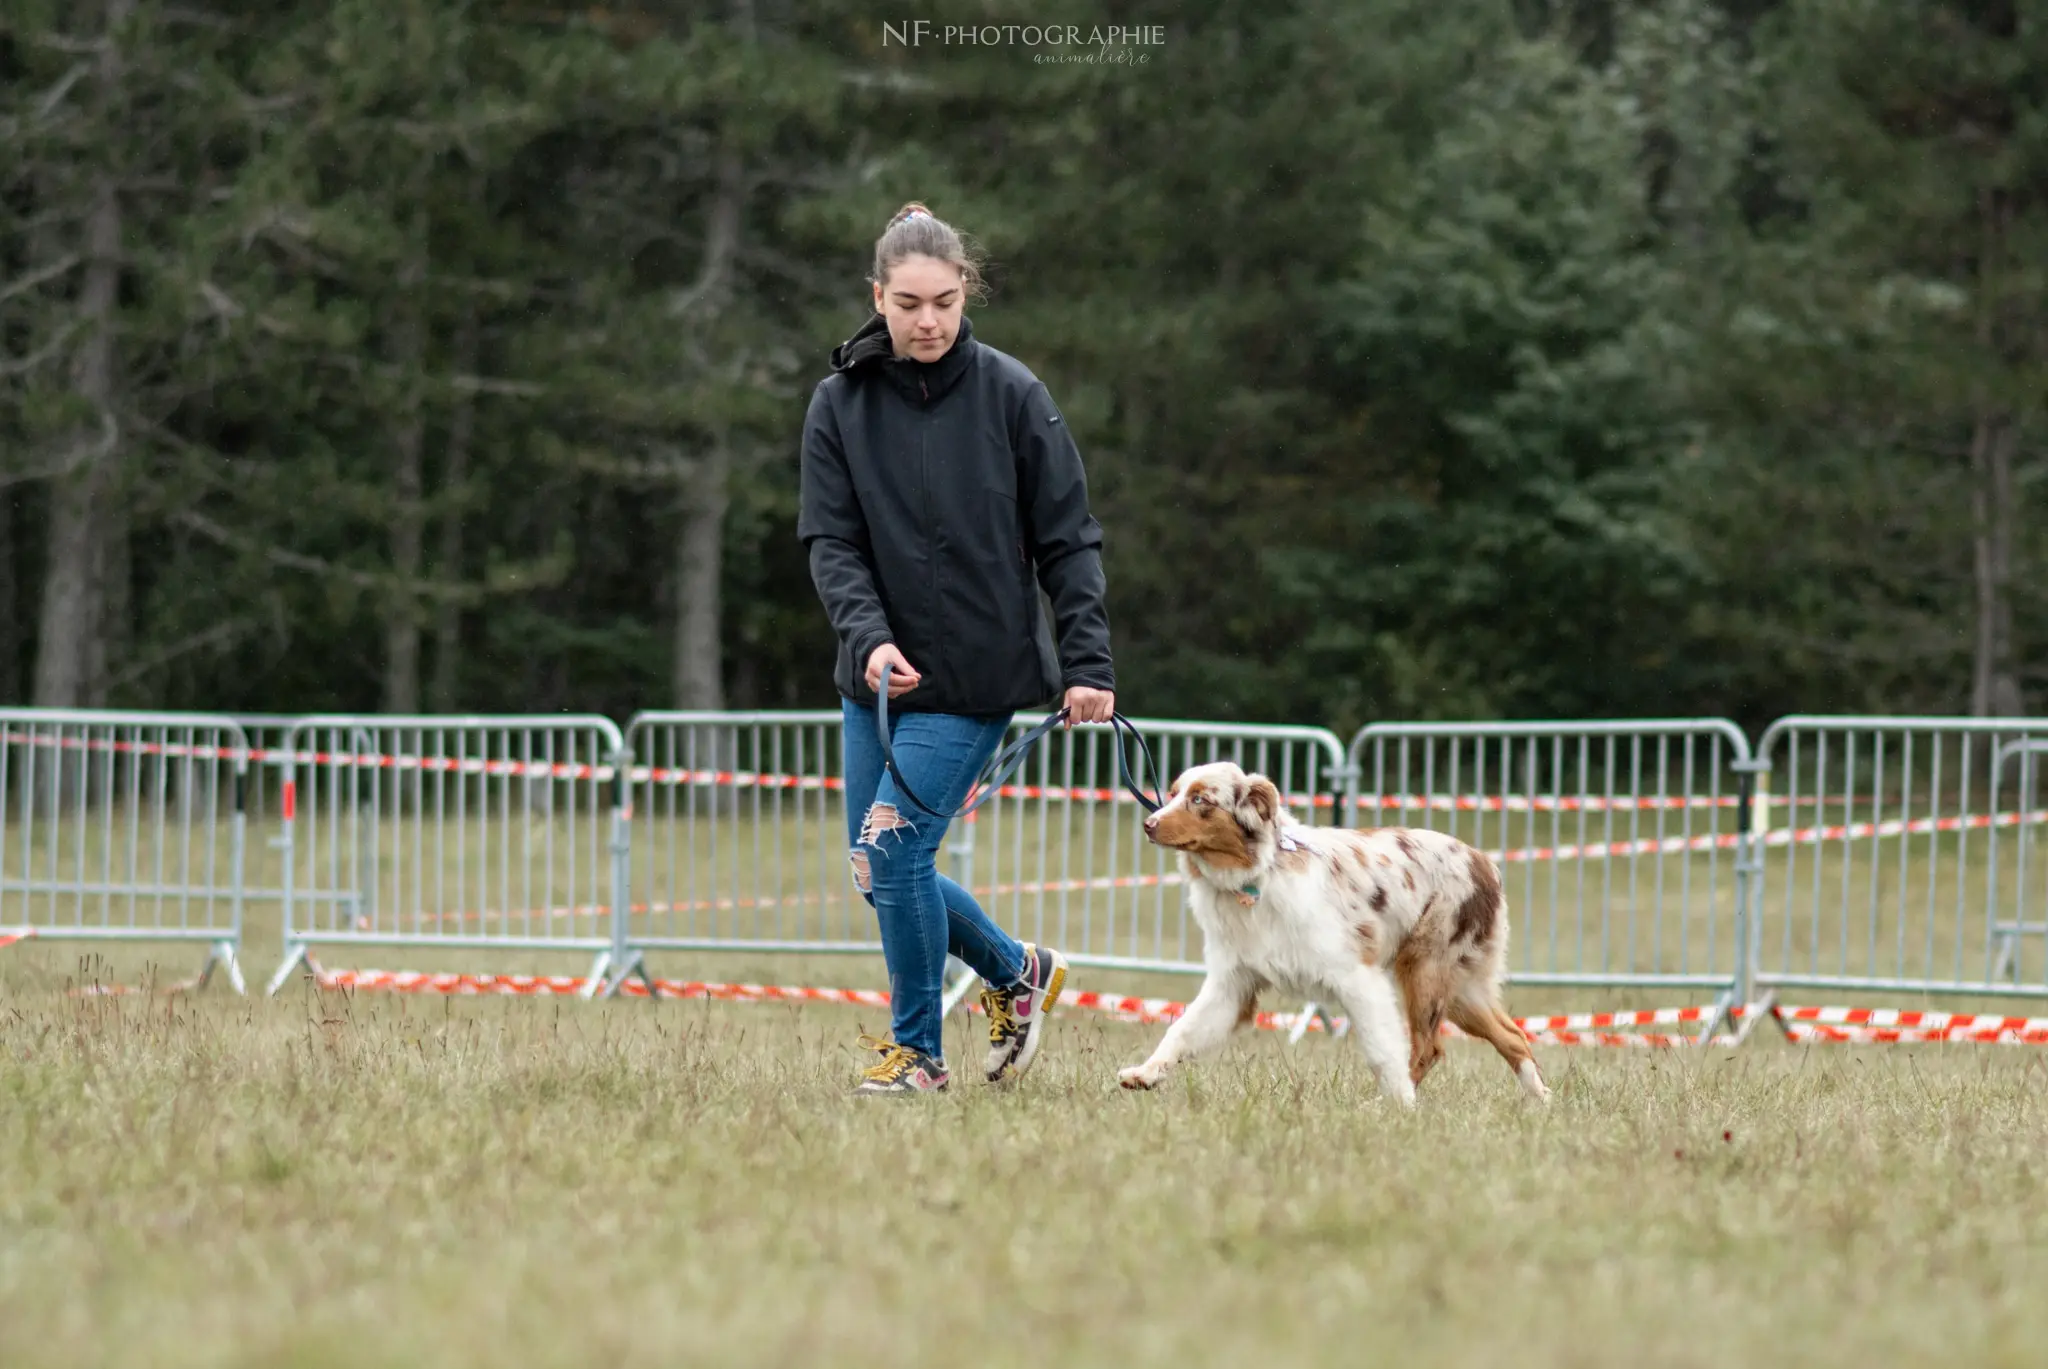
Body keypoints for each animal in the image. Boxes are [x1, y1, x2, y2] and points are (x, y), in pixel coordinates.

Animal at [1122, 766, 1548, 1106]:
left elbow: (1382, 1048)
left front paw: (1401, 1105)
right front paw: (1145, 1073)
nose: (1148, 824)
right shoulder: (1233, 984)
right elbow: (1183, 1030)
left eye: (1200, 800)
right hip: (1459, 988)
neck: (1256, 875)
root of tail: (1484, 861)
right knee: (1512, 1035)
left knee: (1429, 1046)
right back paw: (1542, 1100)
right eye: (1173, 793)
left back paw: (1387, 1103)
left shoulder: (1357, 976)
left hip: (1426, 970)